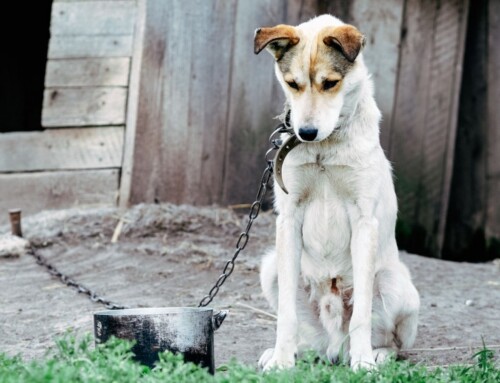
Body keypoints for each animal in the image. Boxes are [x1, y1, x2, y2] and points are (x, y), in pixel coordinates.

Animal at [254, 15, 418, 372]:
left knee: (394, 343)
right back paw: (290, 352)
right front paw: (282, 360)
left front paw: (364, 363)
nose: (306, 132)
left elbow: (362, 315)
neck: (323, 149)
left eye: (330, 83)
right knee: (308, 337)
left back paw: (374, 354)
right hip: (271, 267)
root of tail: (334, 346)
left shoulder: (364, 221)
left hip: (395, 282)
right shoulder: (288, 218)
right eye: (292, 84)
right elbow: (285, 314)